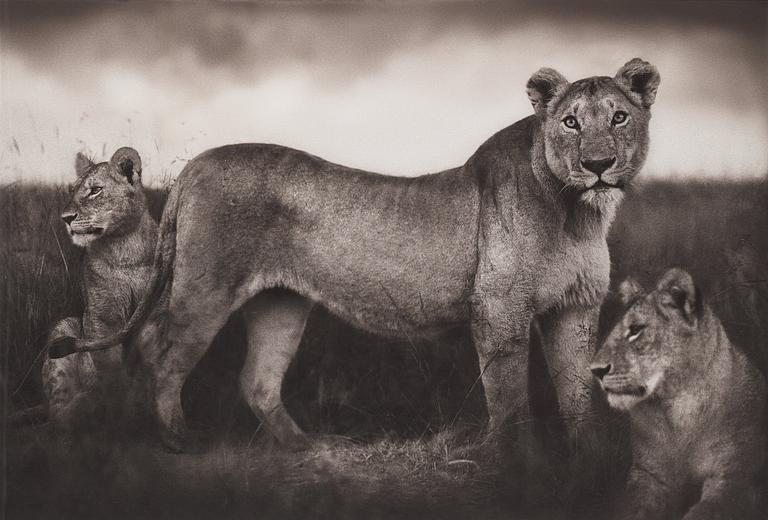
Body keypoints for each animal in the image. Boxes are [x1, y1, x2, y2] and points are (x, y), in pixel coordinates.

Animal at [42, 147, 158, 430]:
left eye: (95, 190)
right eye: (72, 190)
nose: (66, 218)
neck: (125, 249)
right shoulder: (101, 318)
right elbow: (109, 368)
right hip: (64, 328)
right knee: (57, 415)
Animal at [592, 270, 764, 516]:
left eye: (635, 330)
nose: (595, 370)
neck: (676, 412)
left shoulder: (735, 476)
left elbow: (704, 512)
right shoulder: (646, 475)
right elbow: (635, 509)